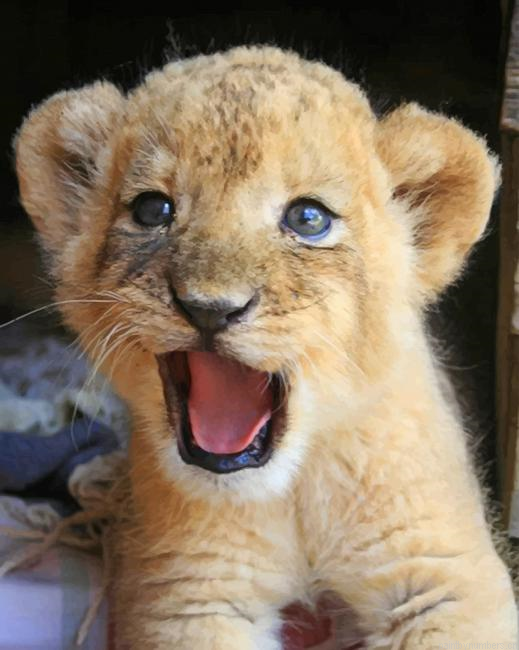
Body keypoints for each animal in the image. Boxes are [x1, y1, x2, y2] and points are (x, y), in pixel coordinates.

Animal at [14, 46, 517, 649]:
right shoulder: (188, 591)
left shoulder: (444, 572)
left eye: (308, 218)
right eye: (153, 210)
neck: (289, 493)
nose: (210, 308)